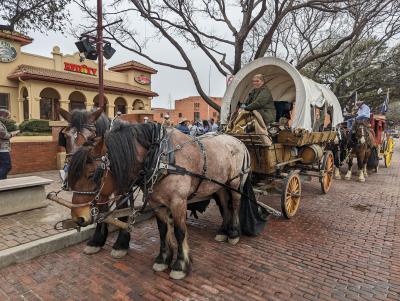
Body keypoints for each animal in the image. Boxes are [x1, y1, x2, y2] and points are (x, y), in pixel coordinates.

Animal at [66, 120, 266, 278]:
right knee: (224, 204)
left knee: (235, 205)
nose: (78, 217)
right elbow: (163, 230)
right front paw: (163, 259)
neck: (161, 158)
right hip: (220, 185)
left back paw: (234, 233)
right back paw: (223, 232)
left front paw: (180, 265)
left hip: (235, 183)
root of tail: (237, 140)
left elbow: (179, 231)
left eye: (92, 175)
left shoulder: (178, 202)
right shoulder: (157, 203)